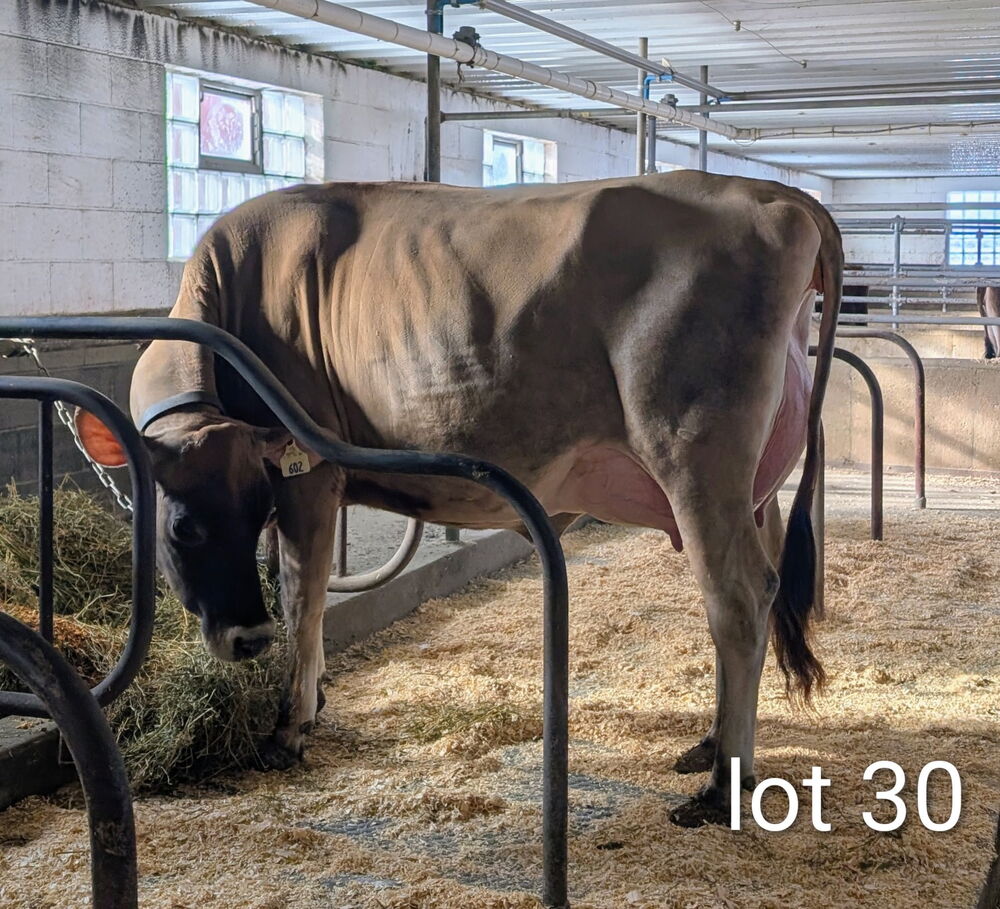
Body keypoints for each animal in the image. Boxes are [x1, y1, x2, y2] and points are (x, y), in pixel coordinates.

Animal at [76, 172, 842, 828]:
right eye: (187, 527)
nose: (246, 639)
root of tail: (771, 193)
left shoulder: (310, 475)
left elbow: (303, 591)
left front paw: (290, 724)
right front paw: (311, 696)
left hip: (695, 455)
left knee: (738, 598)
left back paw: (722, 785)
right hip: (753, 487)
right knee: (743, 595)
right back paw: (707, 745)